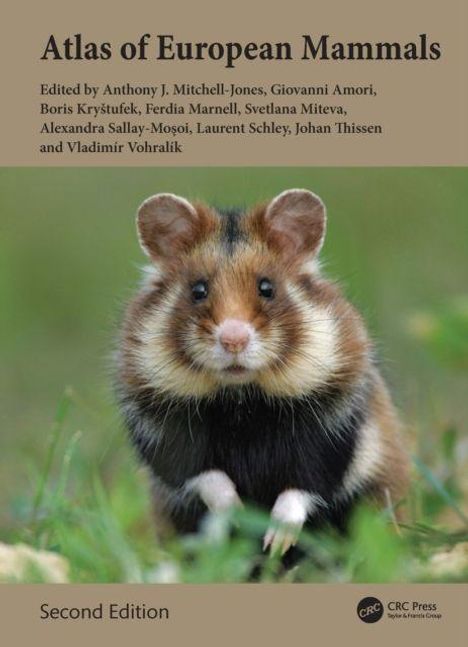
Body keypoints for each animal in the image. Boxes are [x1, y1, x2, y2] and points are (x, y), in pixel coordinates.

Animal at [116, 189, 410, 555]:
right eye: (198, 290)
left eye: (267, 287)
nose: (234, 339)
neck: (242, 398)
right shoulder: (164, 433)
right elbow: (209, 478)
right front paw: (239, 517)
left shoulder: (335, 428)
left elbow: (301, 487)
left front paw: (276, 541)